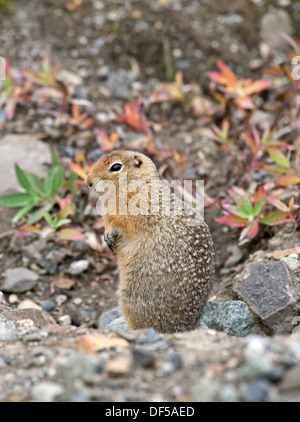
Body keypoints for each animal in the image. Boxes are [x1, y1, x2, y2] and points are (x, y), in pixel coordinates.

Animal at [86, 151, 216, 332]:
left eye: (116, 167)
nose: (88, 181)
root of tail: (186, 325)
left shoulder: (136, 212)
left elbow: (123, 223)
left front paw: (111, 233)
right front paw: (107, 236)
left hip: (132, 298)